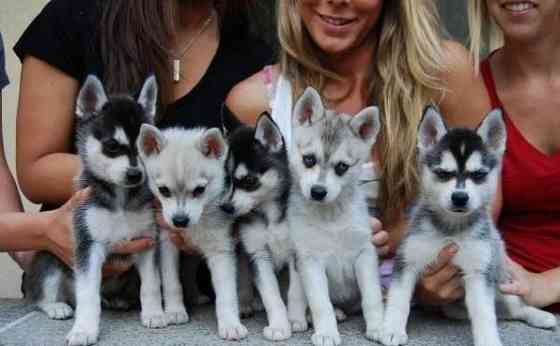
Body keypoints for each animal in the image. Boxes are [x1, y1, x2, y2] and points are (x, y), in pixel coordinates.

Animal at [138, 123, 247, 340]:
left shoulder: (221, 250)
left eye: (199, 190)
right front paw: (174, 310)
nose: (180, 221)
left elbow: (226, 294)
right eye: (164, 190)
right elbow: (172, 282)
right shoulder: (168, 243)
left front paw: (230, 324)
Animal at [286, 88, 382, 346]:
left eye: (342, 167)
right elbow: (321, 303)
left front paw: (379, 326)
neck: (331, 216)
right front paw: (327, 332)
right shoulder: (310, 260)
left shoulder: (364, 253)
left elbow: (372, 296)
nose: (318, 192)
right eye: (309, 159)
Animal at [378, 106, 556, 346]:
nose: (460, 197)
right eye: (443, 173)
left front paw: (488, 340)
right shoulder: (408, 261)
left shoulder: (479, 272)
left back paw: (540, 316)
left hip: (501, 277)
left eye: (478, 174)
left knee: (514, 308)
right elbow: (399, 299)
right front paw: (392, 329)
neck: (451, 229)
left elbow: (484, 313)